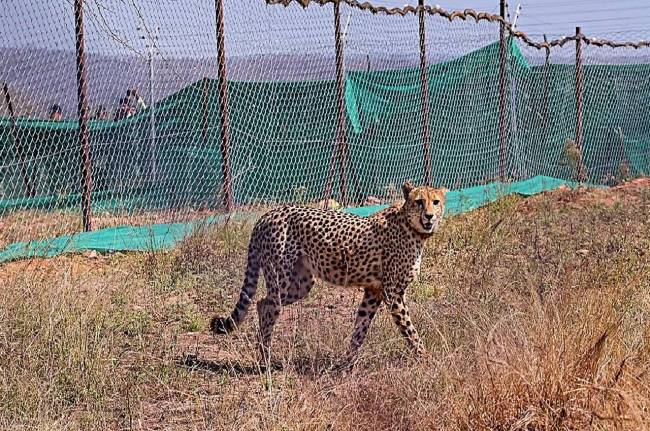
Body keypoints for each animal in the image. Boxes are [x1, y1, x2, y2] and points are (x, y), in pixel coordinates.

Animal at [210, 181, 448, 369]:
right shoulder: (393, 293)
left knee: (261, 303)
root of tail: (267, 214)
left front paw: (347, 363)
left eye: (436, 202)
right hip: (281, 279)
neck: (412, 227)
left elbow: (360, 328)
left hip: (301, 285)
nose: (429, 216)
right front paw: (426, 358)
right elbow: (409, 329)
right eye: (419, 202)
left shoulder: (373, 291)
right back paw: (266, 359)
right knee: (268, 306)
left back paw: (264, 353)